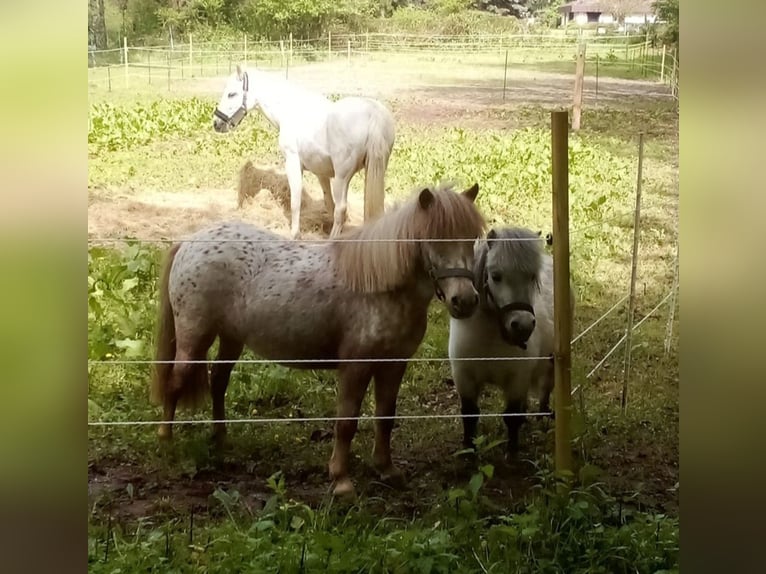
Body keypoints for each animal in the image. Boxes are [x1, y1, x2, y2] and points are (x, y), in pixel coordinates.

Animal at [214, 63, 400, 241]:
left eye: (232, 94)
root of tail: (373, 113)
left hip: (343, 177)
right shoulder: (321, 173)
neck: (291, 111)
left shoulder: (293, 163)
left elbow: (296, 202)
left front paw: (295, 234)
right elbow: (328, 203)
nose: (216, 123)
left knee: (341, 209)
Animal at [444, 227, 576, 462]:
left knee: (545, 388)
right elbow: (470, 415)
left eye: (532, 276)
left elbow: (511, 416)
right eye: (496, 276)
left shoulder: (517, 380)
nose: (523, 326)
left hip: (551, 365)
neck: (489, 340)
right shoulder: (464, 378)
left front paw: (512, 453)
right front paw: (468, 451)